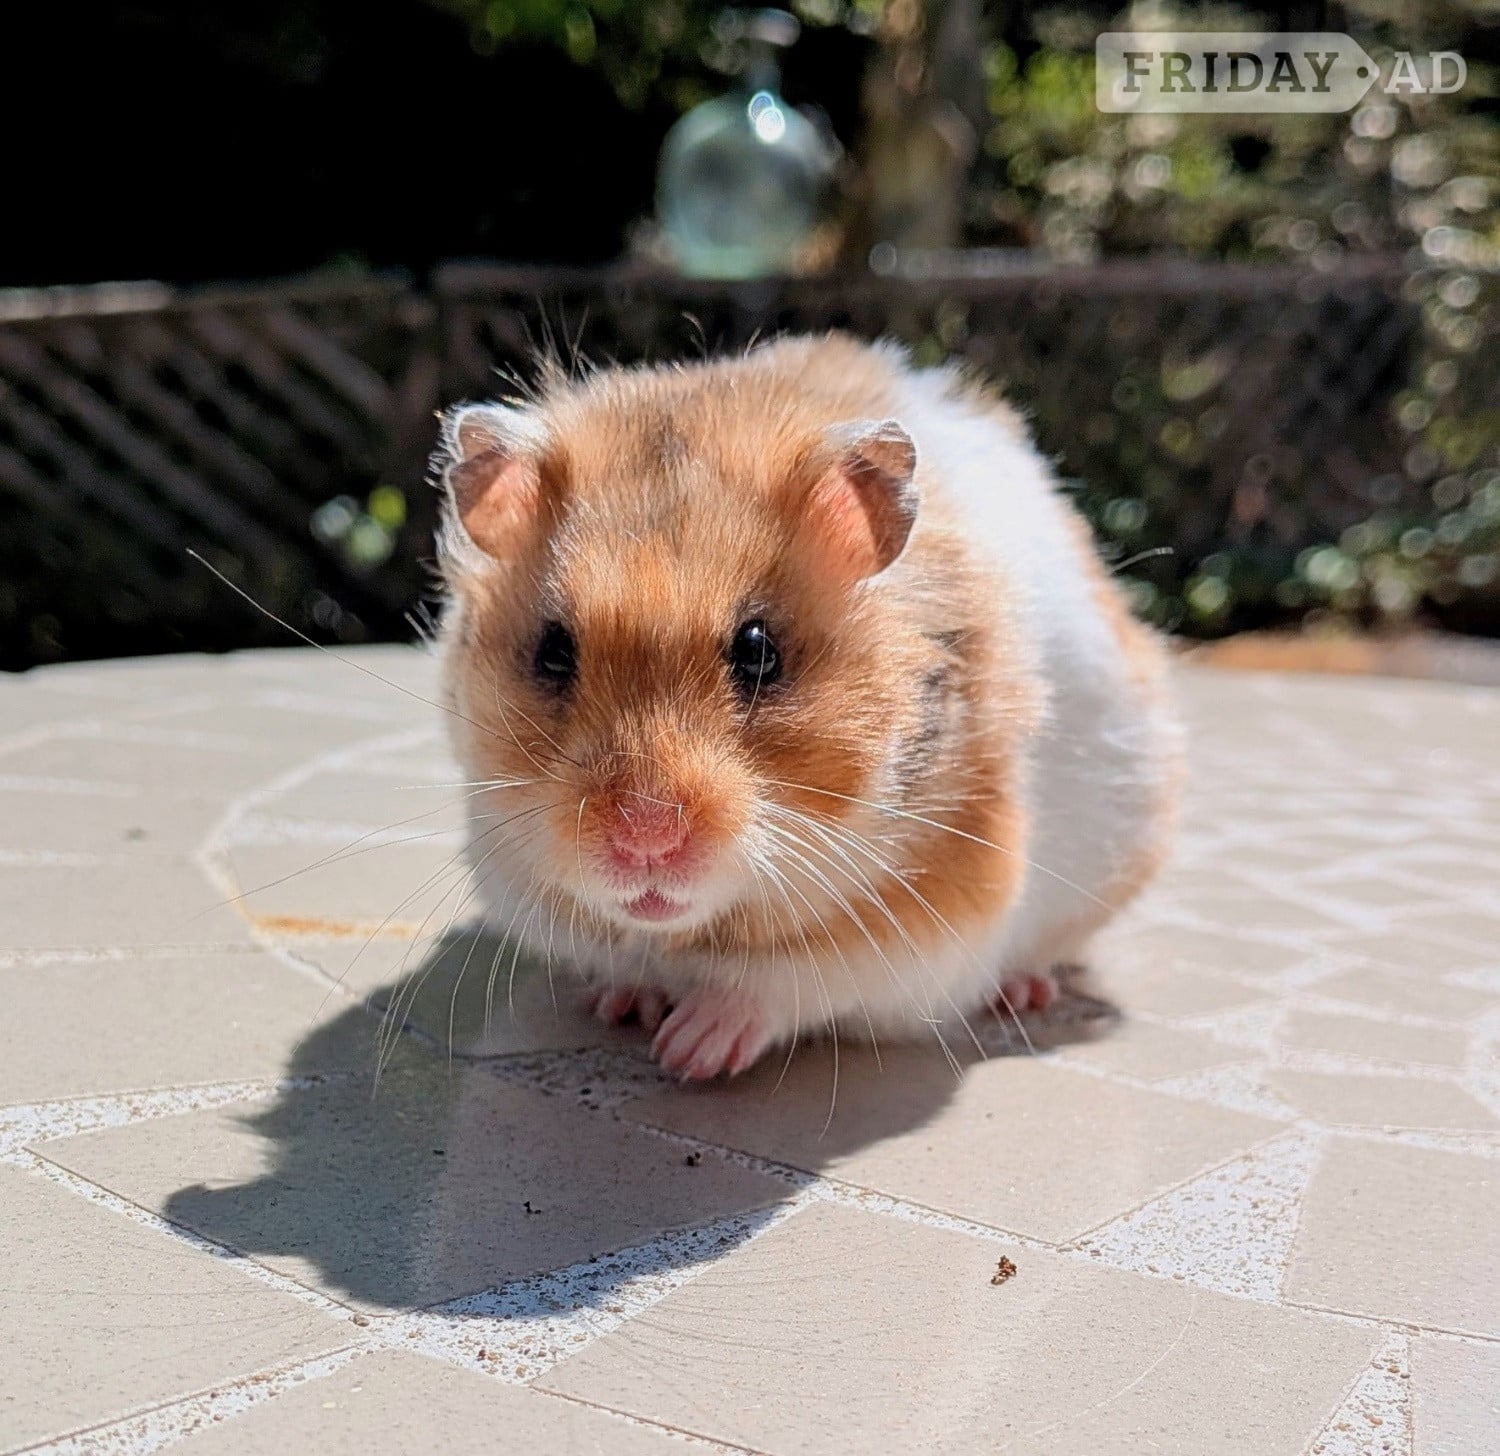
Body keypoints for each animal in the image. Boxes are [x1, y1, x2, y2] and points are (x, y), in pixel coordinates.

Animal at [435, 334, 1180, 1080]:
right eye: (553, 652)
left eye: (760, 652)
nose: (645, 842)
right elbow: (625, 960)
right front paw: (625, 1006)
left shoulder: (935, 910)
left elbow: (782, 982)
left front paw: (688, 1052)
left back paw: (1024, 992)